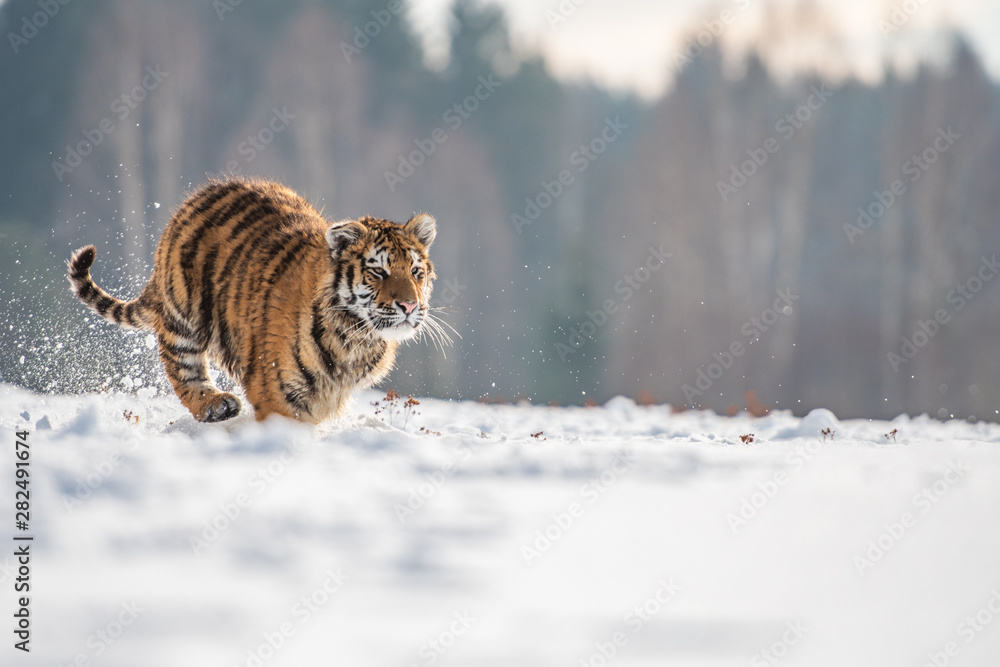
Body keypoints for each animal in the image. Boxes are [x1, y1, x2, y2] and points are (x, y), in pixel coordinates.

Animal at [67, 178, 446, 424]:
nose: (409, 306)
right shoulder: (278, 394)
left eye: (415, 272)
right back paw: (215, 406)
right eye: (378, 272)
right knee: (183, 369)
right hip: (185, 313)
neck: (357, 338)